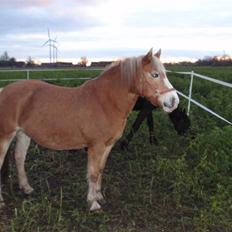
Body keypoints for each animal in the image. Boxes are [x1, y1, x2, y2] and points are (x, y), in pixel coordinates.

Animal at [0, 48, 179, 211]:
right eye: (155, 75)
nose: (174, 101)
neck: (105, 102)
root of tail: (4, 90)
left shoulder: (108, 146)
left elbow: (99, 170)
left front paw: (99, 196)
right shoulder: (96, 146)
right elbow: (92, 173)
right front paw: (93, 203)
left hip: (23, 134)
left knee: (19, 157)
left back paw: (26, 188)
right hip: (5, 136)